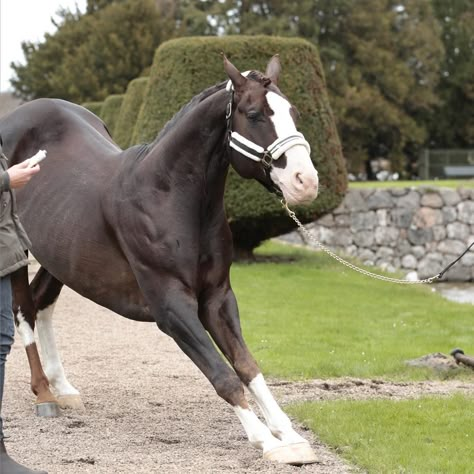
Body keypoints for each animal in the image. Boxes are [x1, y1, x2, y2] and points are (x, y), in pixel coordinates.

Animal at [0, 57, 318, 464]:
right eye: (254, 114)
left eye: (294, 113)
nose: (305, 181)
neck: (170, 198)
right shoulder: (171, 308)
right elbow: (223, 374)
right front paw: (266, 440)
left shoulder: (217, 298)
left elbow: (247, 365)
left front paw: (288, 434)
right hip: (18, 244)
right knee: (23, 308)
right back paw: (44, 393)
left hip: (60, 255)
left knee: (42, 304)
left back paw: (63, 387)